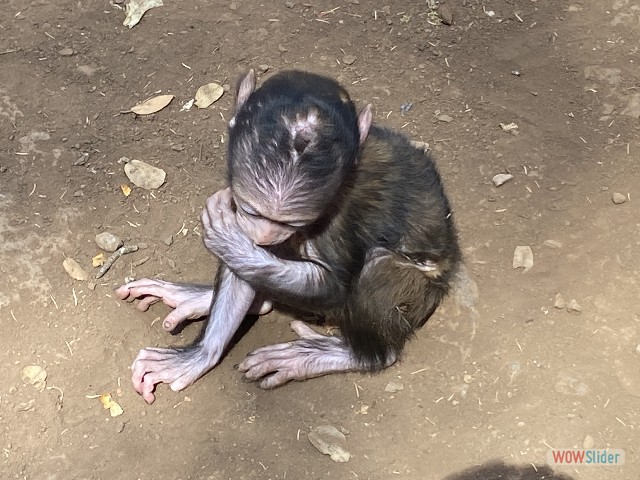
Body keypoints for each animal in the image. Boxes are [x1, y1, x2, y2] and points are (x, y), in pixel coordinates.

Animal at [116, 69, 461, 404]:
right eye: (252, 211)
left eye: (292, 221)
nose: (266, 235)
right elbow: (243, 272)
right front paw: (199, 355)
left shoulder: (337, 215)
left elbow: (334, 286)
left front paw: (229, 241)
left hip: (420, 290)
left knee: (378, 267)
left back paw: (345, 354)